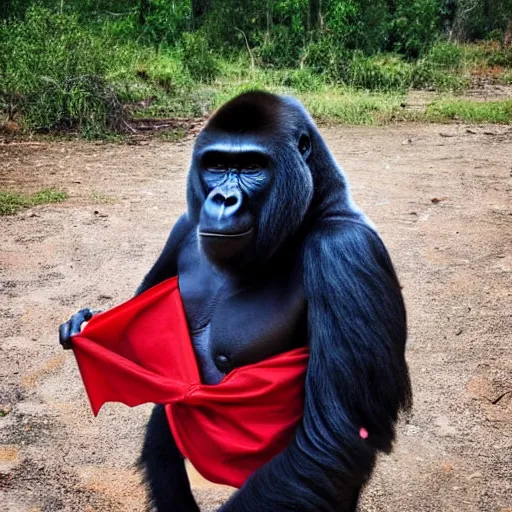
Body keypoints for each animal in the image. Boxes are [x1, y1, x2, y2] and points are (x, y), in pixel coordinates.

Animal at [61, 92, 412, 512]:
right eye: (216, 166)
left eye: (251, 167)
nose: (223, 199)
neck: (313, 208)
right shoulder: (184, 225)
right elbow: (143, 301)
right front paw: (82, 325)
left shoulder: (346, 251)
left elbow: (333, 437)